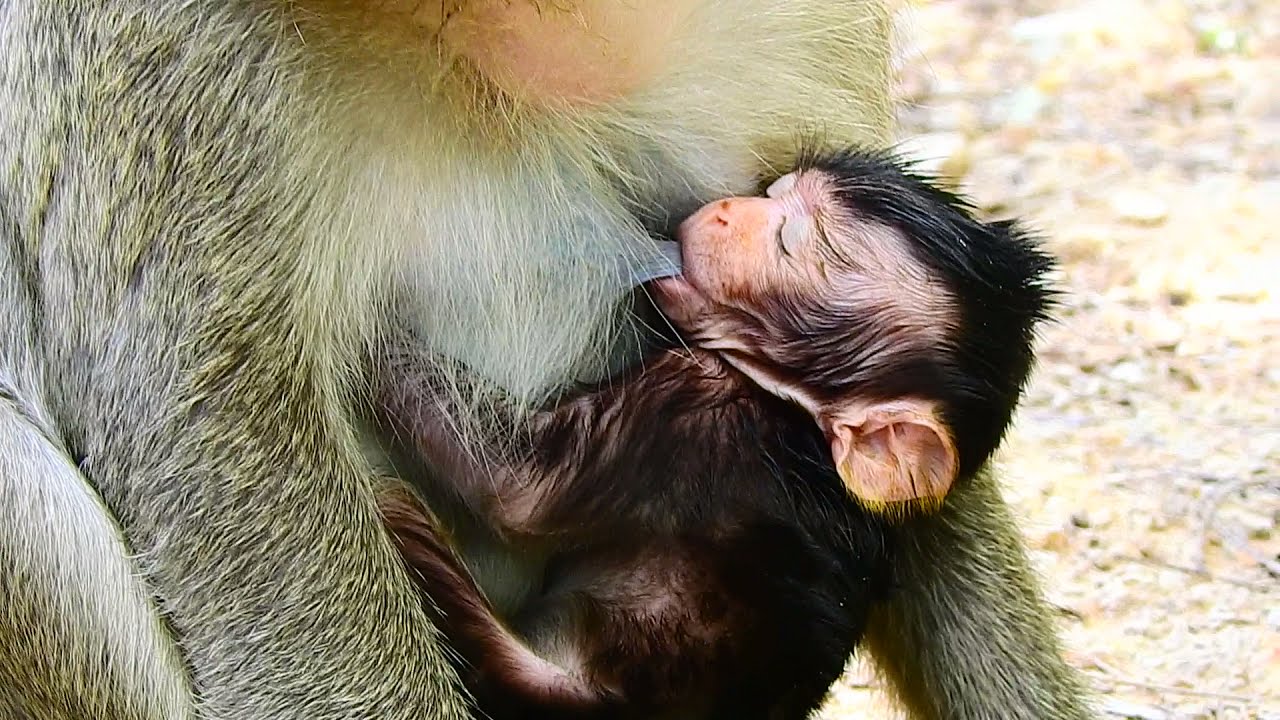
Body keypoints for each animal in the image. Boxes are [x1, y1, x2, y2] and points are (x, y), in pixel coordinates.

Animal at [372, 146, 1056, 719]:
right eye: (775, 197)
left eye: (788, 240)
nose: (727, 209)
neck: (796, 415)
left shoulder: (692, 410)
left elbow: (516, 487)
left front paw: (367, 331)